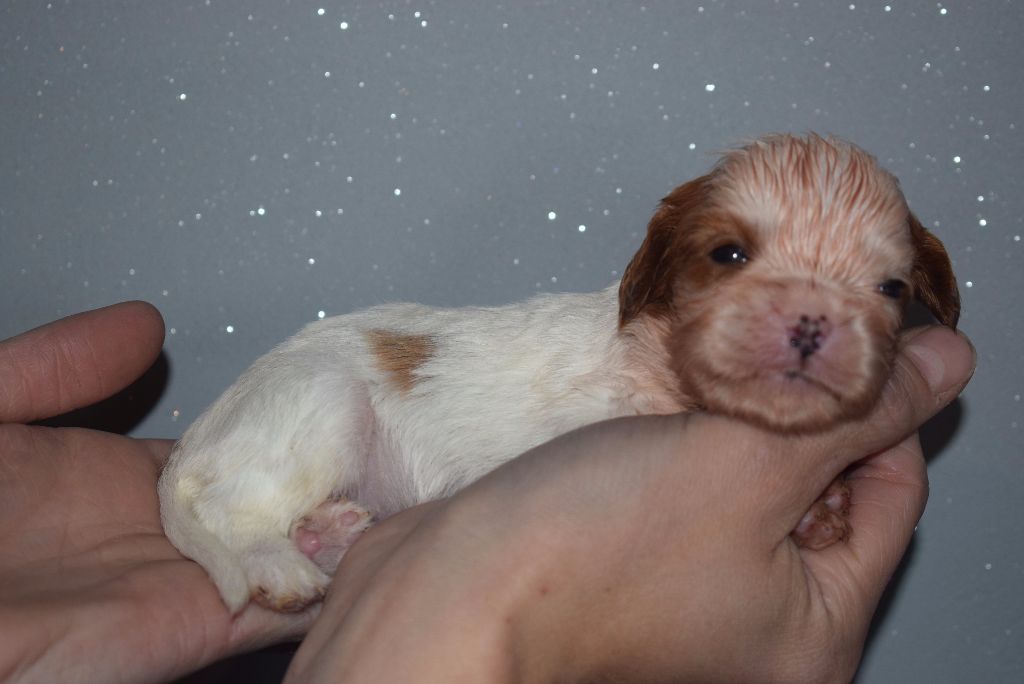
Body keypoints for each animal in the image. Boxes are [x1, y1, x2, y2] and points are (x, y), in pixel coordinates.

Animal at [158, 133, 960, 614]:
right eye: (728, 255)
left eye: (891, 289)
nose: (811, 323)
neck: (659, 356)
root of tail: (194, 440)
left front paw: (827, 507)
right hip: (321, 408)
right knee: (233, 511)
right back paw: (281, 566)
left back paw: (327, 535)